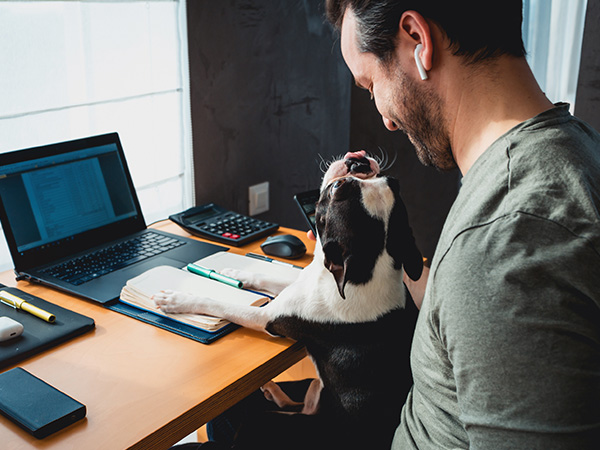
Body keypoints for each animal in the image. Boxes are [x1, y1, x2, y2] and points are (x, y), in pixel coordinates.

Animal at [155, 152, 422, 450]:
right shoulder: (301, 284)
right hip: (315, 391)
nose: (359, 160)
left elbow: (222, 305)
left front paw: (178, 298)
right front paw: (234, 274)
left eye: (337, 189)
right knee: (300, 402)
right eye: (391, 181)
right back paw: (272, 389)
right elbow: (265, 278)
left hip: (266, 424)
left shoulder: (266, 317)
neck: (366, 270)